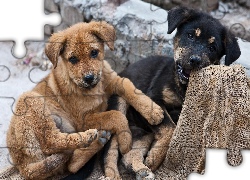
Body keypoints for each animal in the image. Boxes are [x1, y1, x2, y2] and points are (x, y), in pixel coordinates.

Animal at [6, 21, 164, 180]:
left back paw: (98, 140)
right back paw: (90, 136)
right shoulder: (82, 119)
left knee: (71, 165)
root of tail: (23, 166)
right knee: (51, 141)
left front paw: (153, 111)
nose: (89, 78)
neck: (95, 88)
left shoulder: (114, 80)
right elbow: (115, 115)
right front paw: (126, 141)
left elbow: (131, 88)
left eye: (94, 52)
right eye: (73, 59)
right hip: (30, 101)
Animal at [102, 6, 242, 180]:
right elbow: (170, 128)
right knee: (109, 152)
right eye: (190, 36)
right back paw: (114, 174)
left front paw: (153, 159)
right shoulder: (154, 101)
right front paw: (155, 158)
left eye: (212, 48)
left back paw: (143, 171)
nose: (194, 60)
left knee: (128, 155)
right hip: (119, 107)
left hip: (141, 133)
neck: (184, 88)